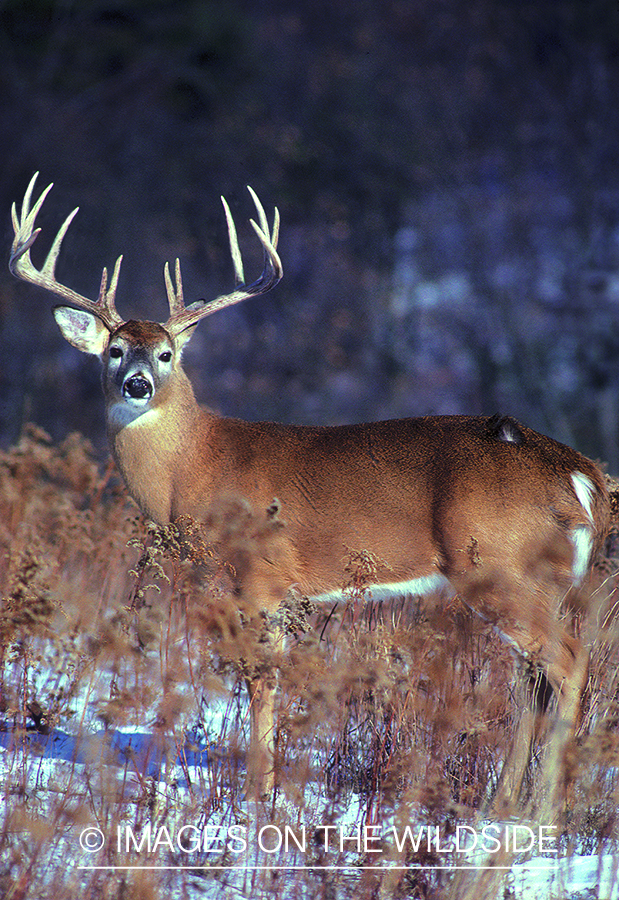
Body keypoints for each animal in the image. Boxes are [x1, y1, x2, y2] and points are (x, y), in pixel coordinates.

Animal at [9, 172, 611, 809]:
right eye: (115, 349)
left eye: (167, 353)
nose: (138, 383)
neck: (195, 466)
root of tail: (583, 476)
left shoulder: (259, 574)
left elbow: (260, 680)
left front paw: (256, 792)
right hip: (531, 581)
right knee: (531, 679)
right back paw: (504, 802)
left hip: (498, 566)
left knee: (569, 663)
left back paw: (544, 811)